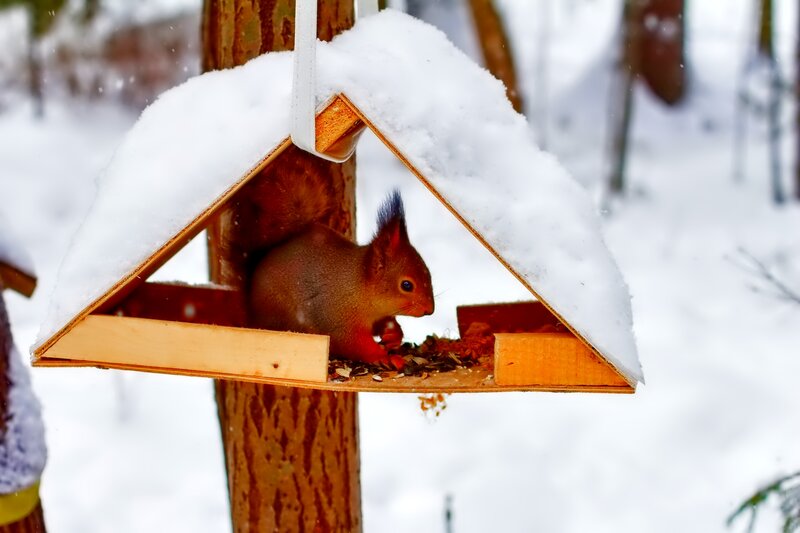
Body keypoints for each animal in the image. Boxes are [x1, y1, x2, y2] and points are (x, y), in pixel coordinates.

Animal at [248, 190, 435, 364]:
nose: (430, 310)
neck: (358, 286)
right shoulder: (338, 319)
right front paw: (383, 356)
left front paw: (393, 334)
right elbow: (352, 342)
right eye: (407, 285)